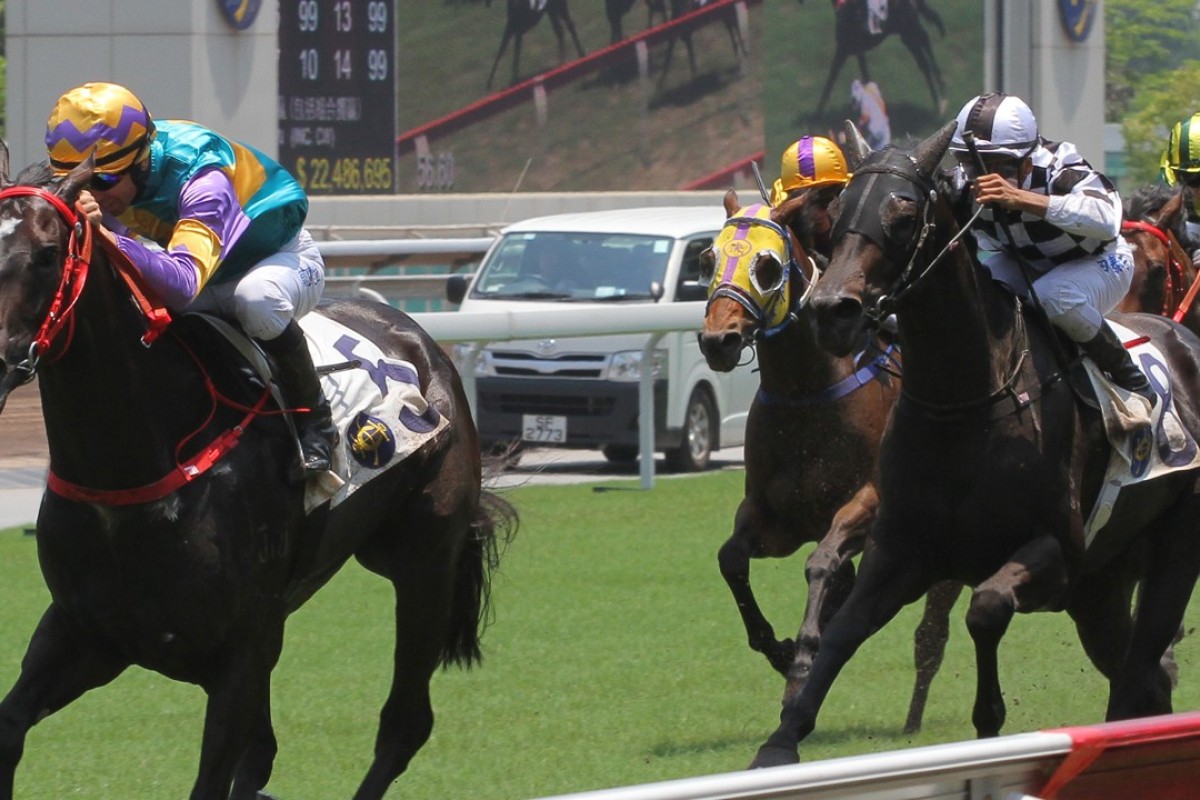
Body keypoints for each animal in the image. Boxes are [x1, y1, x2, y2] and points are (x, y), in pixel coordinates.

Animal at [0, 146, 516, 796]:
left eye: (46, 254)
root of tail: (421, 342)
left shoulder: (238, 654)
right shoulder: (88, 631)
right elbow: (10, 727)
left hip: (424, 559)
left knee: (405, 724)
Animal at [700, 185, 960, 734]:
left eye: (767, 265)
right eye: (707, 259)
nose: (718, 340)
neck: (807, 392)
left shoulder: (869, 502)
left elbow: (821, 563)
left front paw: (800, 658)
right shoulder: (773, 518)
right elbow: (731, 558)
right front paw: (779, 650)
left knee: (931, 633)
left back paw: (912, 720)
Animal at [816, 0, 945, 117]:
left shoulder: (843, 49)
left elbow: (832, 76)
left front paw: (818, 113)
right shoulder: (858, 51)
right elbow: (865, 76)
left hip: (909, 32)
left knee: (925, 53)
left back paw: (940, 100)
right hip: (909, 33)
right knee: (924, 50)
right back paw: (940, 95)